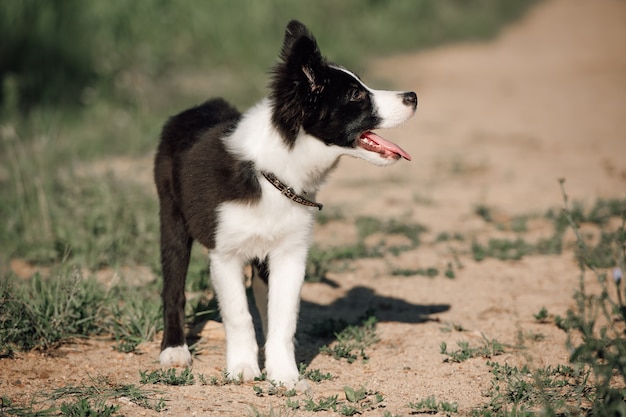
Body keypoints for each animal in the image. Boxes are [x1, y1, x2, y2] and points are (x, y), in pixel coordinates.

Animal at [154, 21, 416, 388]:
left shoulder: (290, 253)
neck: (274, 175)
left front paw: (284, 375)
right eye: (356, 95)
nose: (413, 97)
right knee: (173, 286)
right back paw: (174, 350)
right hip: (171, 215)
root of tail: (197, 107)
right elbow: (238, 315)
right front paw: (242, 369)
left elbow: (283, 318)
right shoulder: (224, 254)